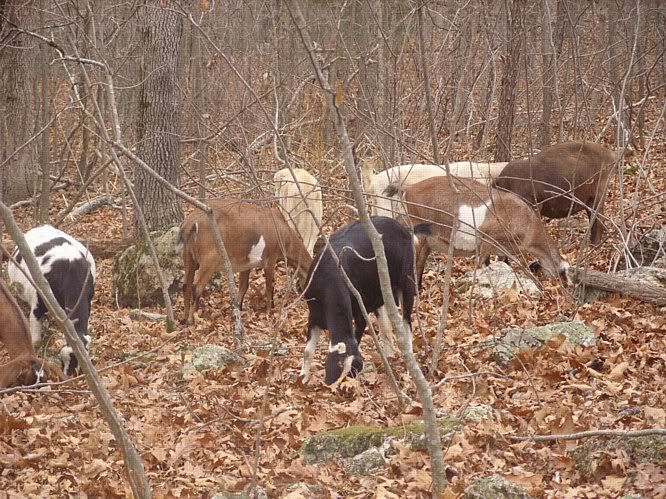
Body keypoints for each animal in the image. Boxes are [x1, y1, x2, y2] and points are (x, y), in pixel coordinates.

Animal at [180, 199, 313, 324]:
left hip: (188, 256)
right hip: (209, 258)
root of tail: (190, 222)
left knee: (186, 285)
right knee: (196, 287)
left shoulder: (246, 264)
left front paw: (238, 309)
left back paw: (184, 318)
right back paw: (191, 320)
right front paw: (269, 311)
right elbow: (270, 285)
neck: (286, 235)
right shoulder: (270, 257)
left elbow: (244, 286)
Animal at [301, 216, 430, 385]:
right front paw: (302, 378)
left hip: (407, 282)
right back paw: (388, 355)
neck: (329, 277)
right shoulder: (313, 315)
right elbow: (307, 352)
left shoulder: (360, 310)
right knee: (386, 323)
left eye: (351, 373)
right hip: (380, 291)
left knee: (406, 322)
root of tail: (405, 229)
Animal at [384, 177, 569, 289]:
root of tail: (408, 188)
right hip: (418, 232)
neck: (528, 222)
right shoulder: (486, 237)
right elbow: (481, 265)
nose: (566, 290)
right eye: (564, 273)